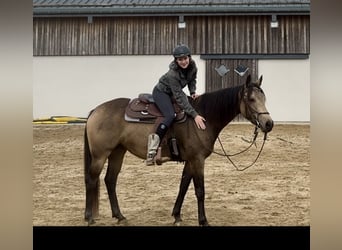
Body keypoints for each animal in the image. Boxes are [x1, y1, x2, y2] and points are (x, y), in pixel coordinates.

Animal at [84, 74, 274, 227]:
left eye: (264, 99)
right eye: (251, 99)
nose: (269, 124)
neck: (202, 117)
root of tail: (96, 110)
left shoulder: (190, 160)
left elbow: (183, 186)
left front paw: (176, 216)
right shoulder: (197, 160)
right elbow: (199, 191)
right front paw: (203, 221)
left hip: (117, 152)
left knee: (110, 180)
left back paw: (119, 216)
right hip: (100, 155)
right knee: (91, 179)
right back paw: (89, 217)